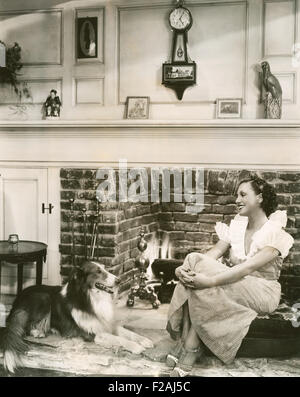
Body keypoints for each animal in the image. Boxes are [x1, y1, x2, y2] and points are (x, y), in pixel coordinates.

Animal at [0, 260, 154, 372]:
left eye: (105, 269)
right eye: (98, 271)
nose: (119, 280)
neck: (90, 298)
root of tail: (18, 298)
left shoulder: (107, 324)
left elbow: (127, 333)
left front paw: (144, 340)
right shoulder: (92, 334)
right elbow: (118, 339)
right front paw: (136, 346)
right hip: (43, 298)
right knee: (24, 326)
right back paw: (38, 332)